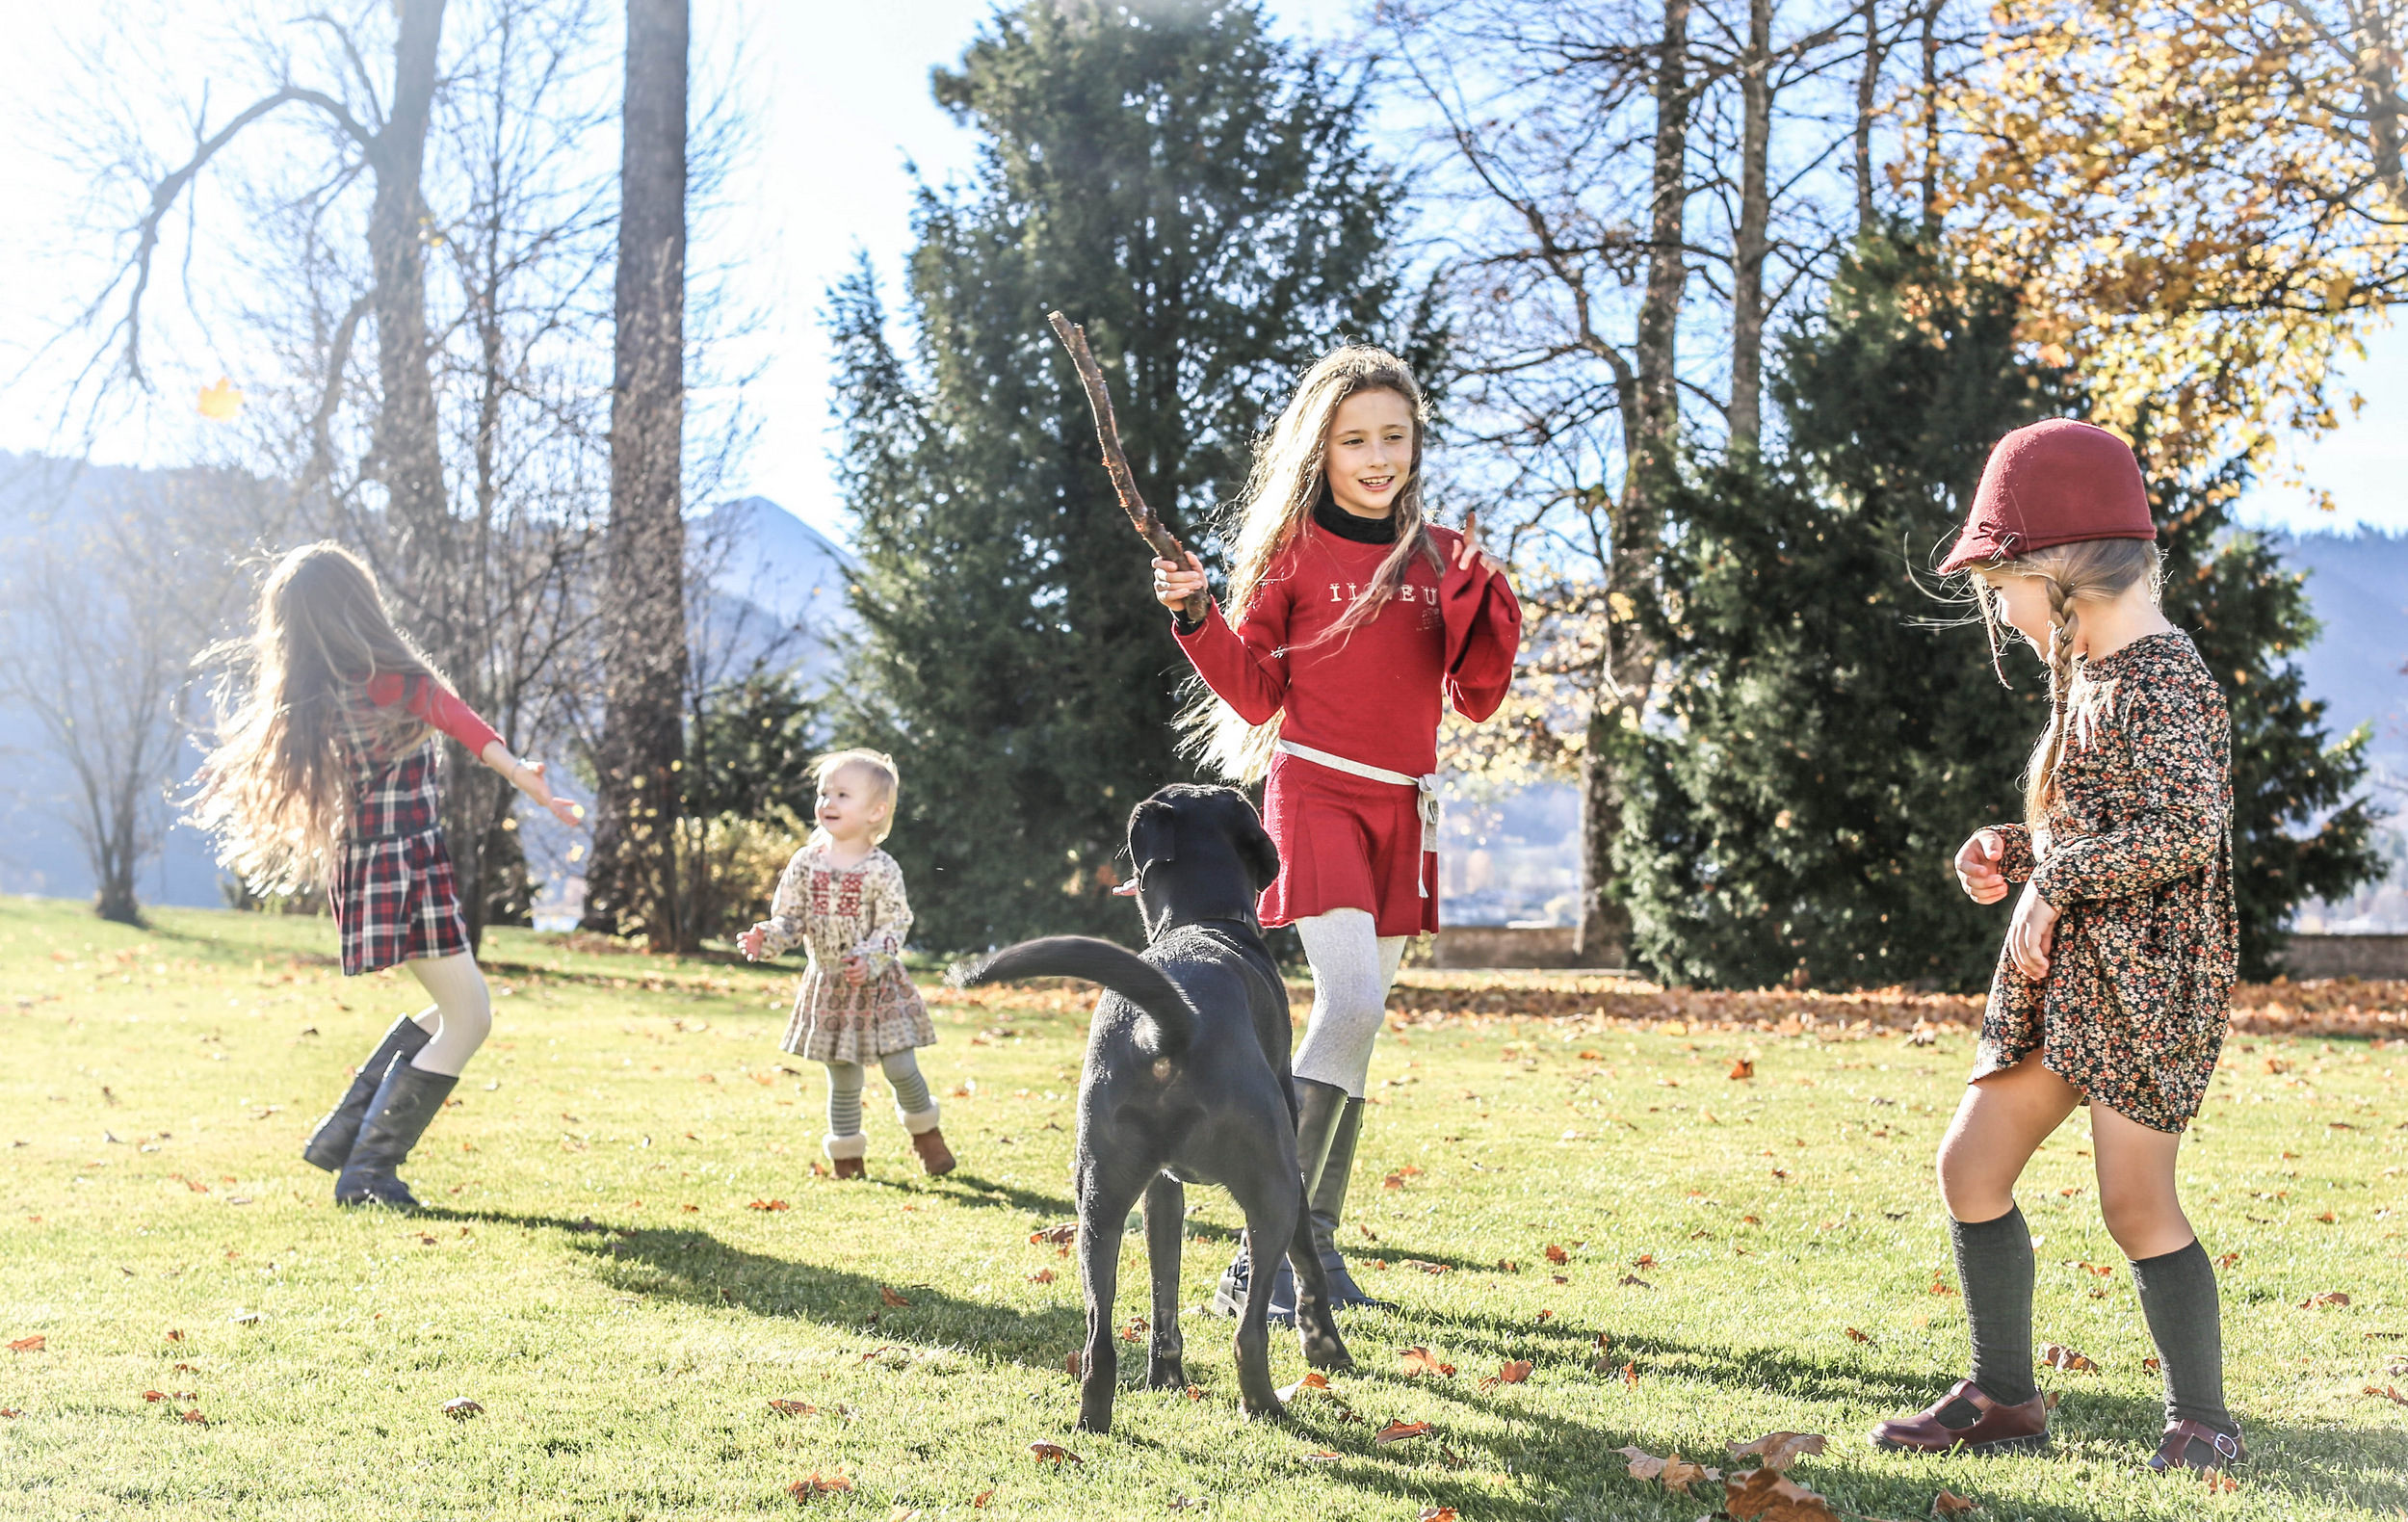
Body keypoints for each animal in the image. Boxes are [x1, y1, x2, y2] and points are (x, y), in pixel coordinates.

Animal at [949, 780, 1358, 1435]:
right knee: (1249, 1331)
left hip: (1098, 1200)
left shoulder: (1162, 1189)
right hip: (1272, 1187)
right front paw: (1326, 1350)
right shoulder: (1291, 1176)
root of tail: (1175, 1024)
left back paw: (1094, 1418)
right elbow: (1310, 1271)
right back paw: (1267, 1406)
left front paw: (1165, 1374)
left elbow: (1165, 1281)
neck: (1203, 921)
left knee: (1099, 1337)